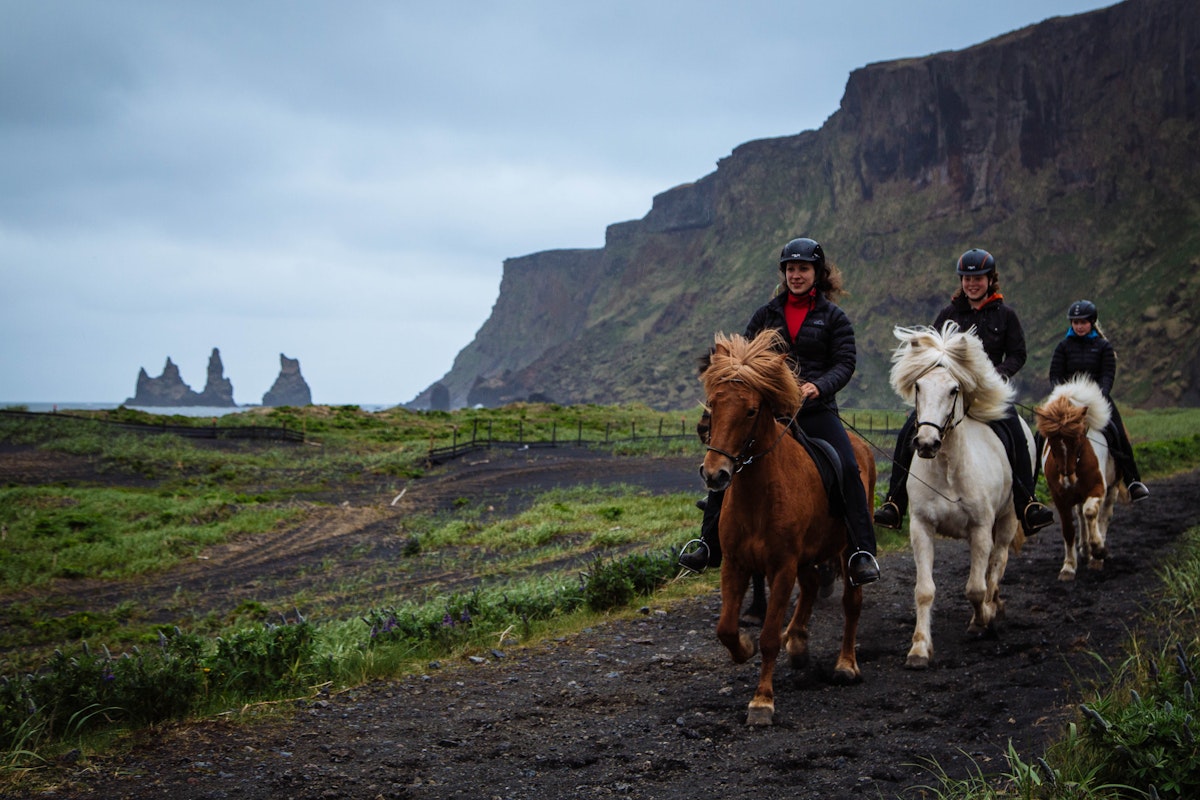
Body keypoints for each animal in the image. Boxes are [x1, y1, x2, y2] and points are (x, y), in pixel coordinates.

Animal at [700, 331, 878, 724]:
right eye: (713, 405)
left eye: (751, 410)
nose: (715, 474)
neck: (759, 493)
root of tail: (861, 448)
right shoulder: (734, 563)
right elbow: (726, 628)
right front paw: (744, 647)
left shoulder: (781, 567)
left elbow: (768, 637)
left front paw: (762, 701)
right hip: (808, 555)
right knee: (811, 584)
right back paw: (797, 641)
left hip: (847, 550)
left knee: (852, 603)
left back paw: (846, 665)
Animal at [883, 321, 1032, 671]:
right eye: (919, 387)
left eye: (954, 389)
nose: (926, 443)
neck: (948, 469)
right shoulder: (921, 527)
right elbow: (924, 590)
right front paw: (919, 649)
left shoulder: (981, 527)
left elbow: (976, 588)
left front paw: (981, 621)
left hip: (1007, 518)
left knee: (998, 561)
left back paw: (992, 607)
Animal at [1032, 376, 1123, 582]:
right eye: (1052, 441)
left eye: (1078, 438)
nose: (1068, 476)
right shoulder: (1060, 497)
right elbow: (1068, 529)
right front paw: (1068, 567)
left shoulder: (1098, 487)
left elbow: (1091, 513)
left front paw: (1099, 549)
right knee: (1081, 515)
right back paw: (1085, 550)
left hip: (1112, 488)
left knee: (1103, 515)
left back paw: (1097, 555)